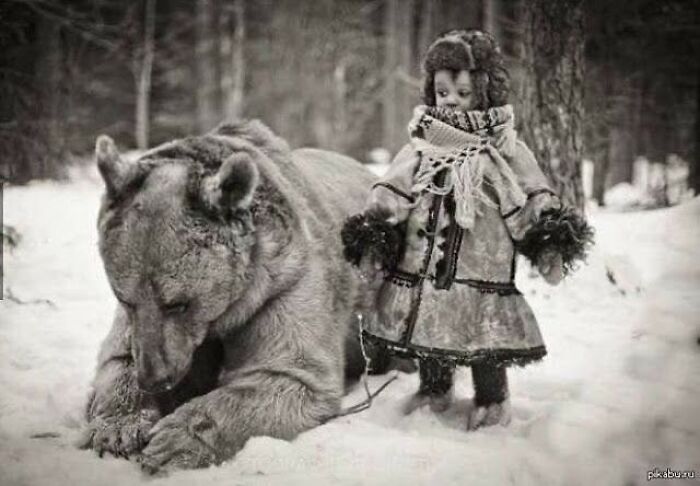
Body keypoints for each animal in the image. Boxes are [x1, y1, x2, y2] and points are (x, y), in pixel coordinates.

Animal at [79, 120, 379, 472]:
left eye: (178, 303)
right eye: (125, 299)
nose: (154, 379)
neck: (226, 311)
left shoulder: (284, 285)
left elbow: (289, 374)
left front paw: (173, 440)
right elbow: (115, 358)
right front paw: (119, 428)